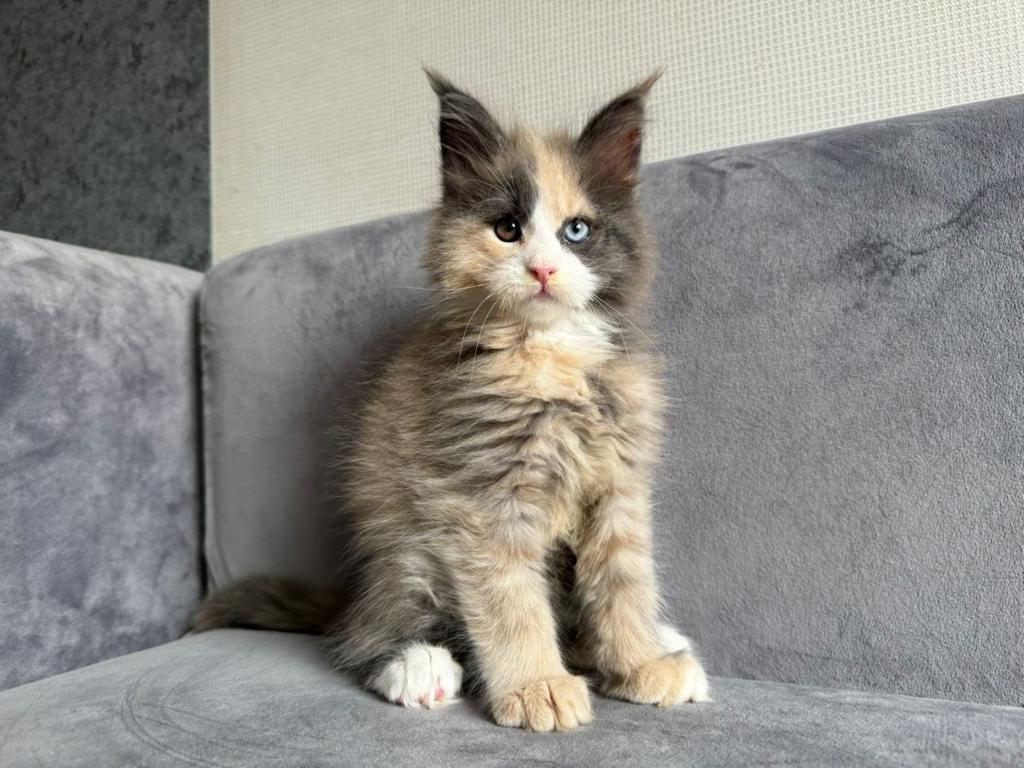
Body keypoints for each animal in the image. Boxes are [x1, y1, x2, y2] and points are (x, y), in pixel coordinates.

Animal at [192, 72, 708, 733]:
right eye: (508, 229)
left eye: (577, 231)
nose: (543, 270)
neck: (547, 357)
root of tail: (356, 595)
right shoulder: (479, 495)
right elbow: (511, 600)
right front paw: (537, 686)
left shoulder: (617, 486)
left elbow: (624, 583)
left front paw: (640, 664)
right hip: (405, 541)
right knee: (365, 634)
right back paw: (418, 665)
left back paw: (658, 645)